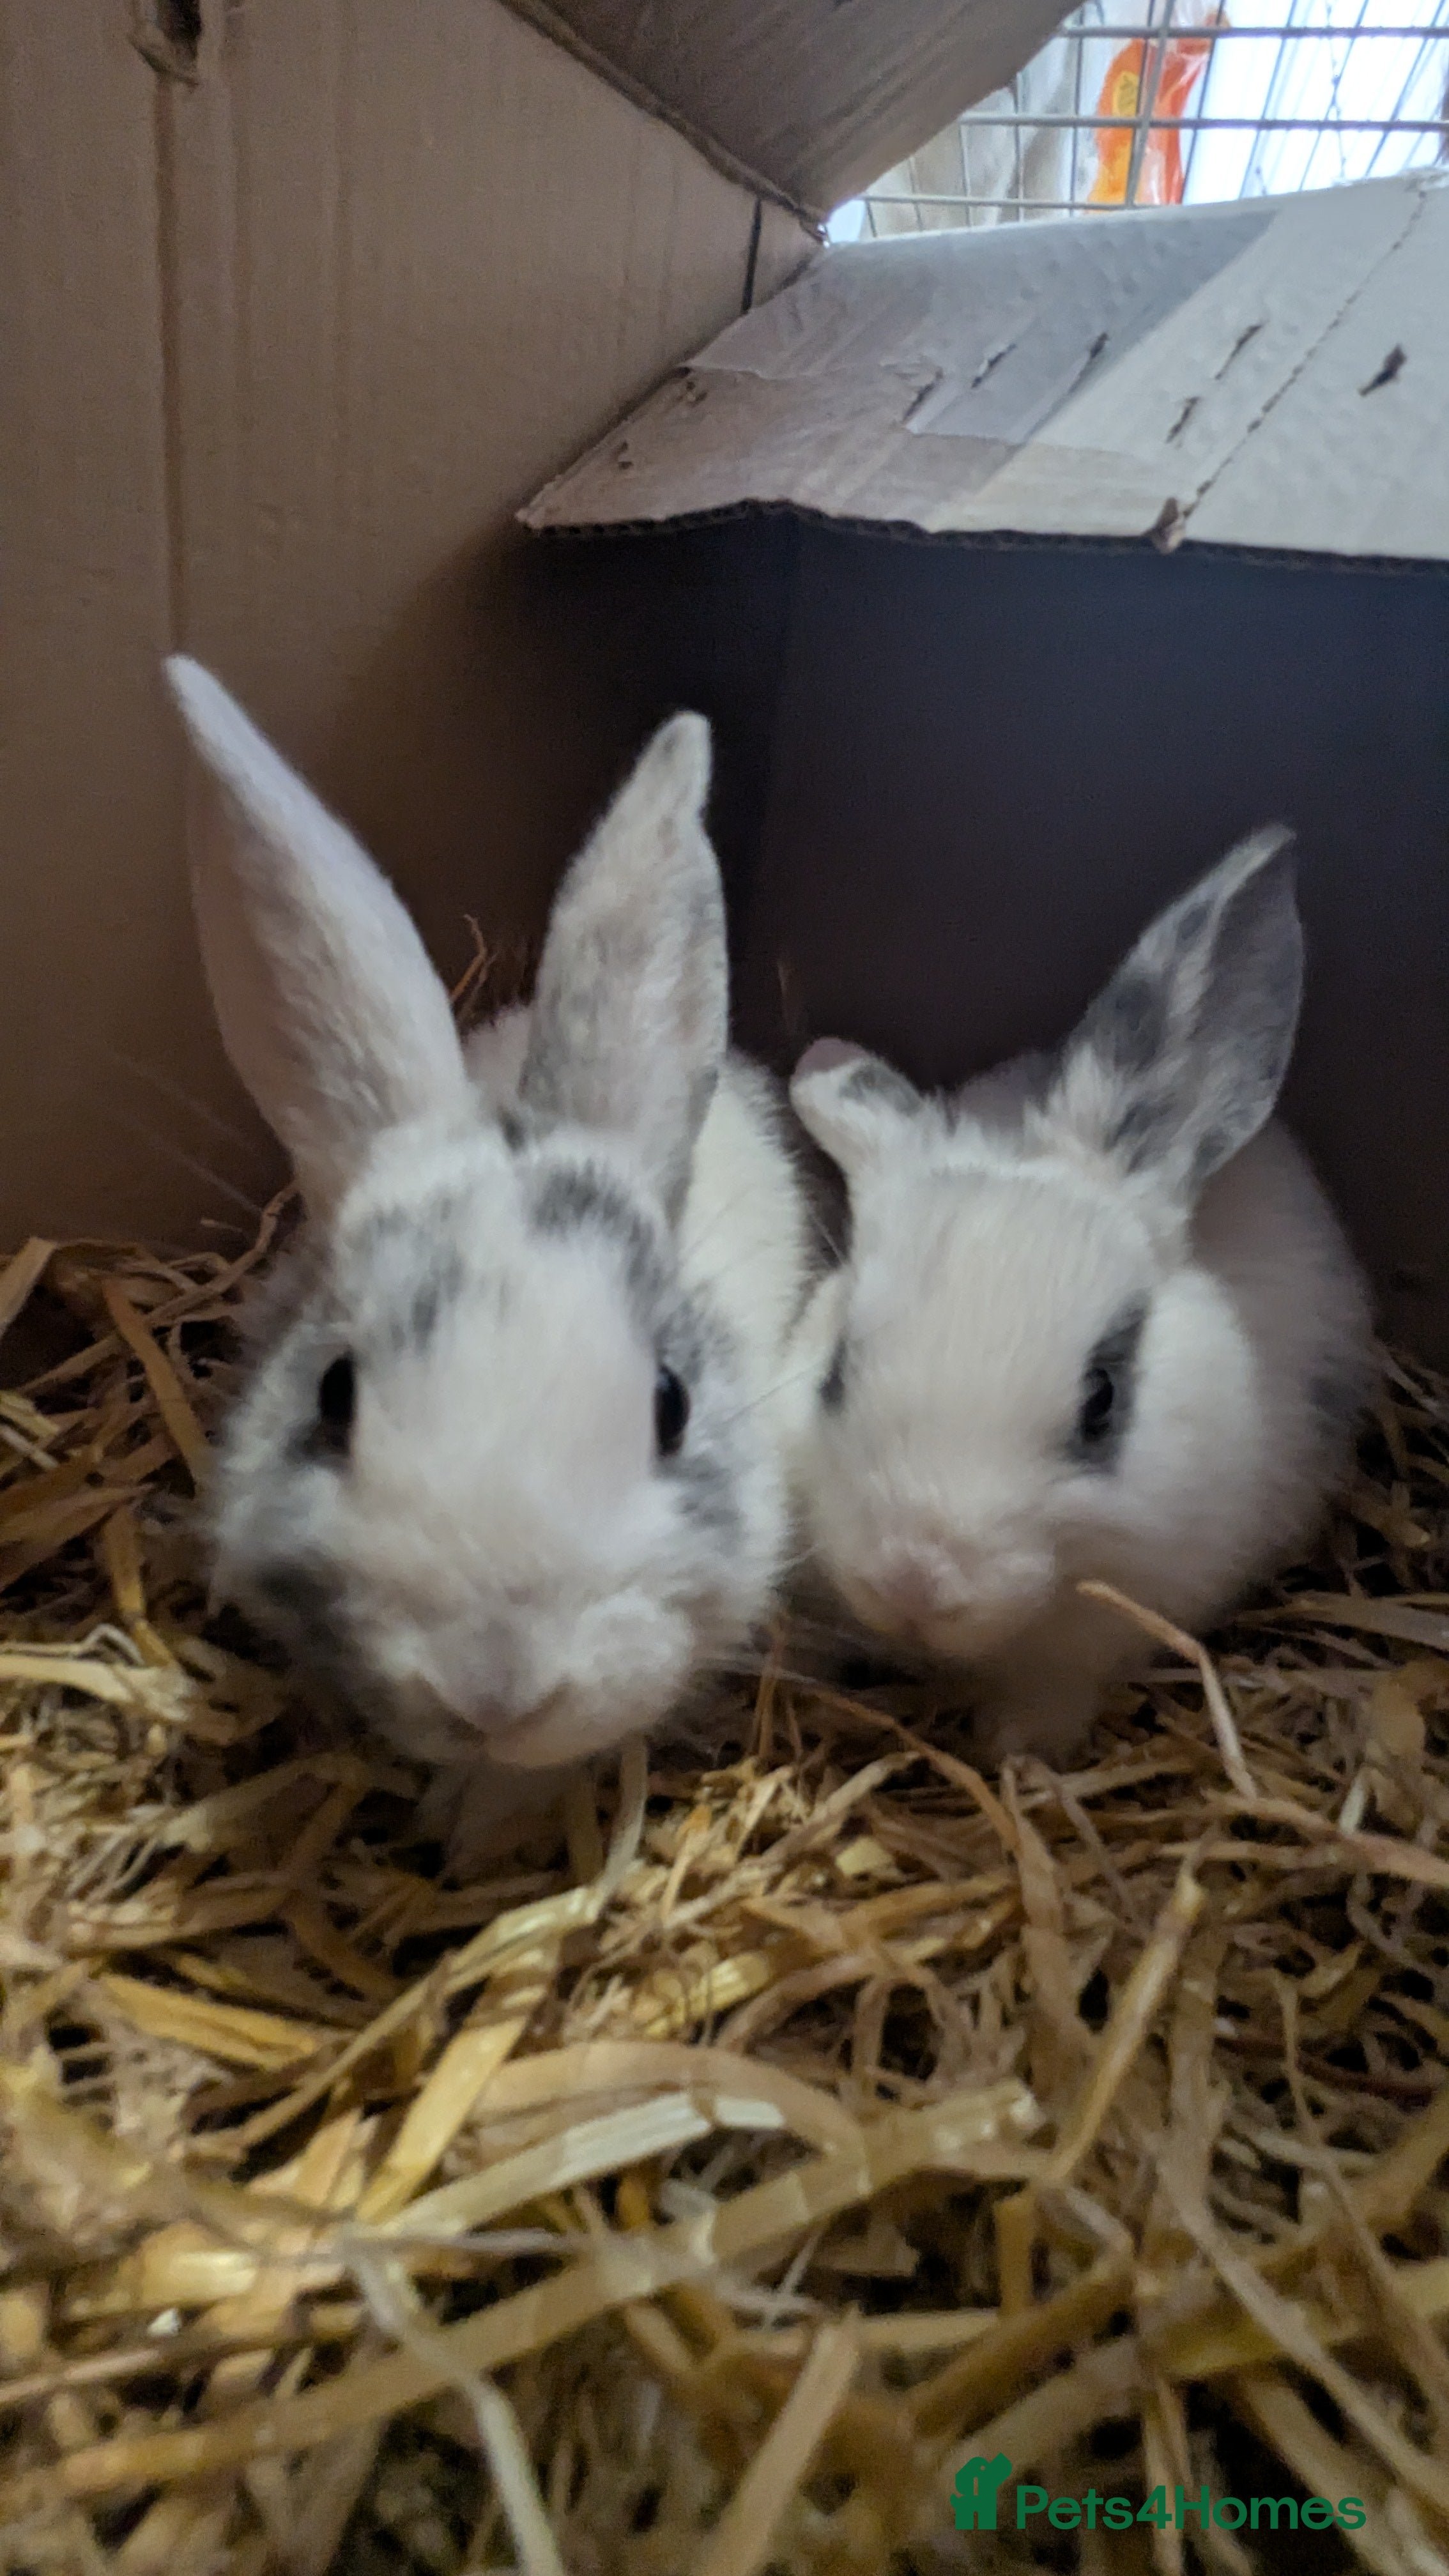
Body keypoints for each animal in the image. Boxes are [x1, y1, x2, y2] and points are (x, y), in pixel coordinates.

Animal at [788, 828, 1376, 1766]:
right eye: (835, 1370)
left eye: (1102, 1401)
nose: (916, 1578)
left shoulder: (1100, 1635)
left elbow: (1053, 1695)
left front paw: (1017, 1754)